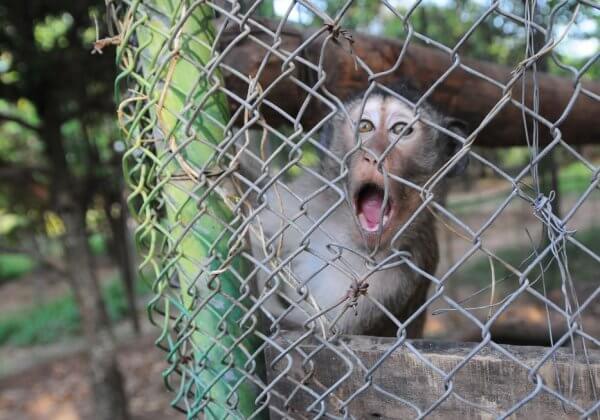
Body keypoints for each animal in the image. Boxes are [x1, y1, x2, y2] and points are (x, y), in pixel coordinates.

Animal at [244, 83, 468, 338]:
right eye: (365, 126)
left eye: (401, 130)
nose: (374, 156)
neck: (352, 240)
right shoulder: (306, 196)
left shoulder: (397, 273)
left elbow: (321, 332)